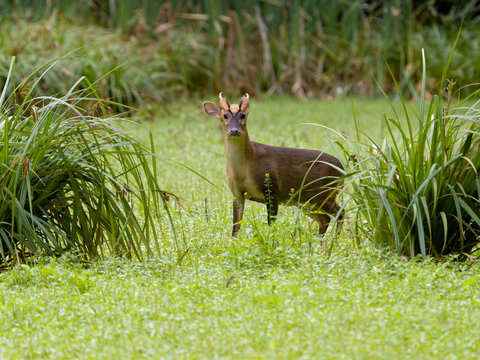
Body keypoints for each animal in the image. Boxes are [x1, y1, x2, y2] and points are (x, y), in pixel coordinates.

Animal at [204, 93, 344, 236]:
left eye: (243, 115)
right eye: (225, 116)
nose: (234, 130)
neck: (245, 168)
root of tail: (342, 167)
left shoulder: (272, 188)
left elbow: (271, 224)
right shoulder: (236, 193)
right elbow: (235, 227)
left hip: (324, 193)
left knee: (340, 213)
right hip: (307, 201)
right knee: (325, 219)